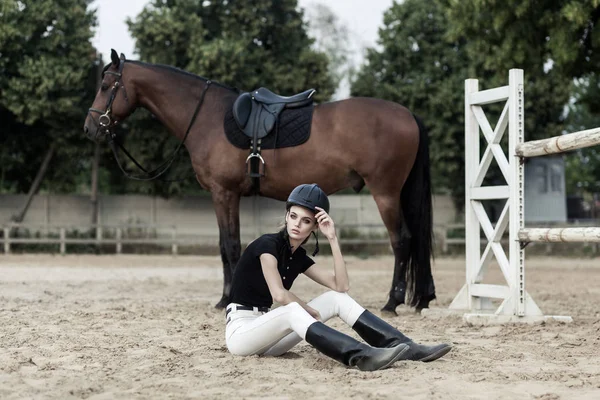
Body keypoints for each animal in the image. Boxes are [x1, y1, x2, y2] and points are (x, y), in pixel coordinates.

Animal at [82, 50, 434, 312]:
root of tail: (408, 115)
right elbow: (226, 245)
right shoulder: (226, 195)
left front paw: (226, 297)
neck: (208, 117)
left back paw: (392, 302)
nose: (90, 127)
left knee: (402, 240)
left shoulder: (224, 193)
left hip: (385, 192)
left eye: (106, 85)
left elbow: (230, 245)